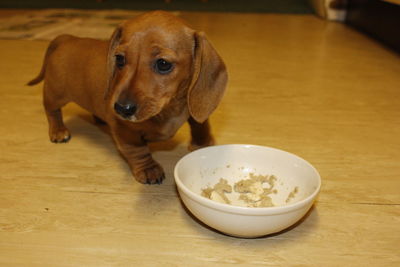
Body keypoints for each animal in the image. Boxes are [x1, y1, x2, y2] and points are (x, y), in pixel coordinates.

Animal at [27, 11, 228, 185]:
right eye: (119, 59)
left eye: (163, 64)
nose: (121, 108)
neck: (169, 109)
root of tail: (67, 38)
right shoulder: (124, 130)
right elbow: (137, 150)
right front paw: (148, 169)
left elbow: (200, 123)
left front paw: (203, 143)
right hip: (55, 93)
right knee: (51, 111)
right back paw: (58, 131)